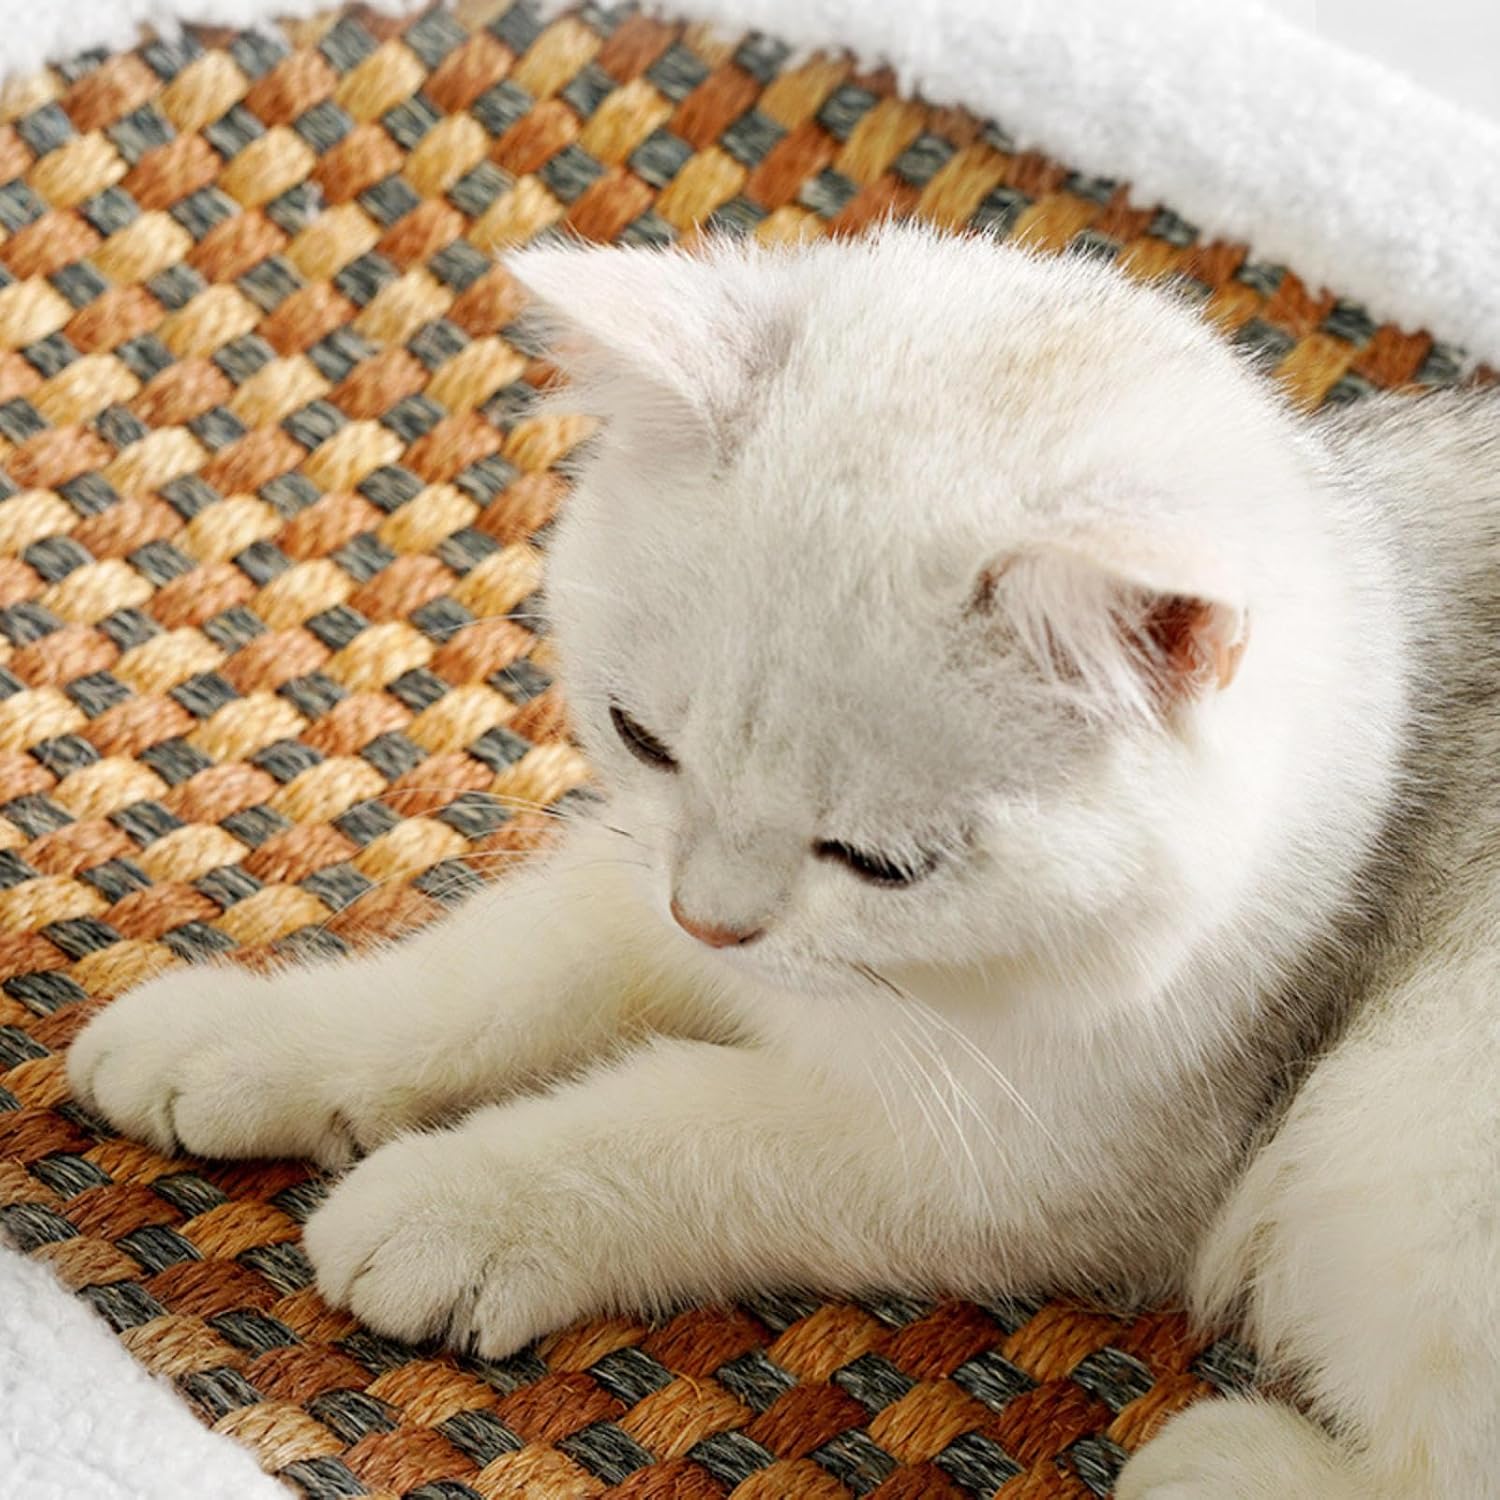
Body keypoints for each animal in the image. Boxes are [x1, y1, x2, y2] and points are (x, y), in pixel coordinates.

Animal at [67, 225, 1500, 1500]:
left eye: (883, 863)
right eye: (641, 737)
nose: (713, 924)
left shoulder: (1028, 1166)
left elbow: (686, 1121)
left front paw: (455, 1203)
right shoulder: (637, 870)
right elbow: (488, 976)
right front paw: (253, 1038)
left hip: (1394, 1118)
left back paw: (1218, 1466)